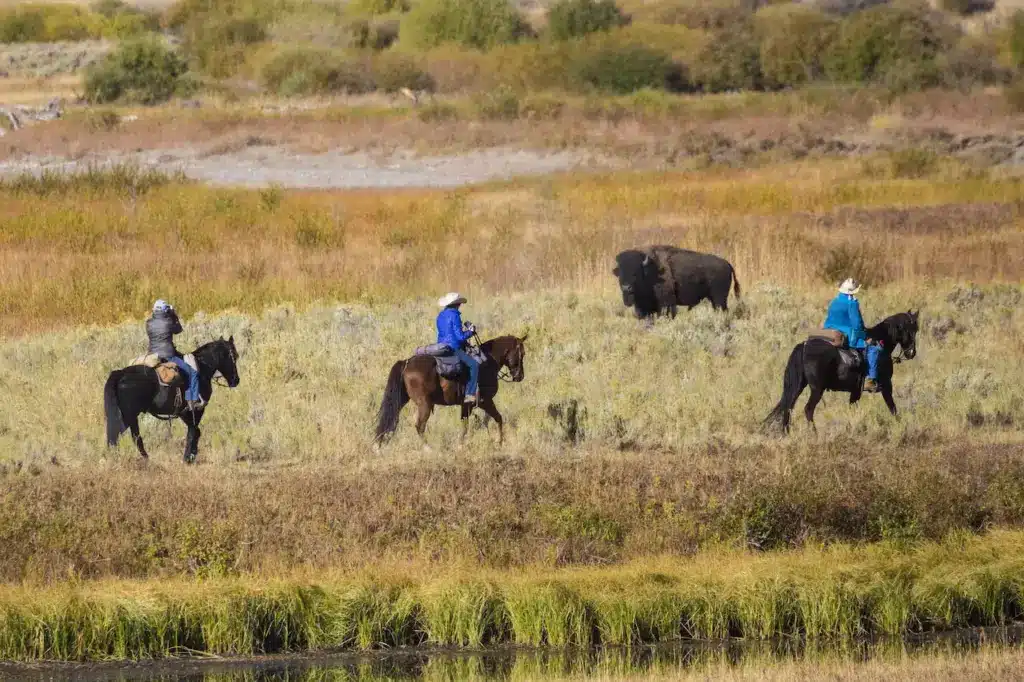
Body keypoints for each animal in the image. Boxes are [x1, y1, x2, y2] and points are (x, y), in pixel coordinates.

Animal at [103, 335, 239, 462]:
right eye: (234, 356)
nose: (236, 380)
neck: (202, 368)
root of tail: (121, 374)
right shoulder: (196, 410)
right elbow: (193, 432)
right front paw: (188, 458)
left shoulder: (184, 412)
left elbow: (194, 432)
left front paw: (190, 456)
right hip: (129, 416)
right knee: (128, 437)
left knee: (120, 437)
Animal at [374, 333, 528, 446]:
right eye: (522, 353)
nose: (519, 376)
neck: (488, 362)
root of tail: (406, 363)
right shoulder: (486, 401)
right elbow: (498, 418)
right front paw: (499, 441)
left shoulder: (466, 405)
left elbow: (465, 425)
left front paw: (461, 444)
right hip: (424, 404)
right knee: (420, 426)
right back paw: (428, 448)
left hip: (401, 400)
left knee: (392, 419)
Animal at [610, 245, 741, 317]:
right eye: (620, 273)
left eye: (635, 273)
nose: (626, 288)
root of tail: (727, 263)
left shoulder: (666, 304)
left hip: (719, 299)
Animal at [761, 309, 921, 430]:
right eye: (911, 329)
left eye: (916, 329)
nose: (911, 353)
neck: (882, 343)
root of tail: (805, 345)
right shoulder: (887, 386)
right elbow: (893, 408)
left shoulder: (855, 392)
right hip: (817, 389)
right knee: (808, 409)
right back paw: (814, 433)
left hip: (799, 386)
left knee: (788, 407)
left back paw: (786, 433)